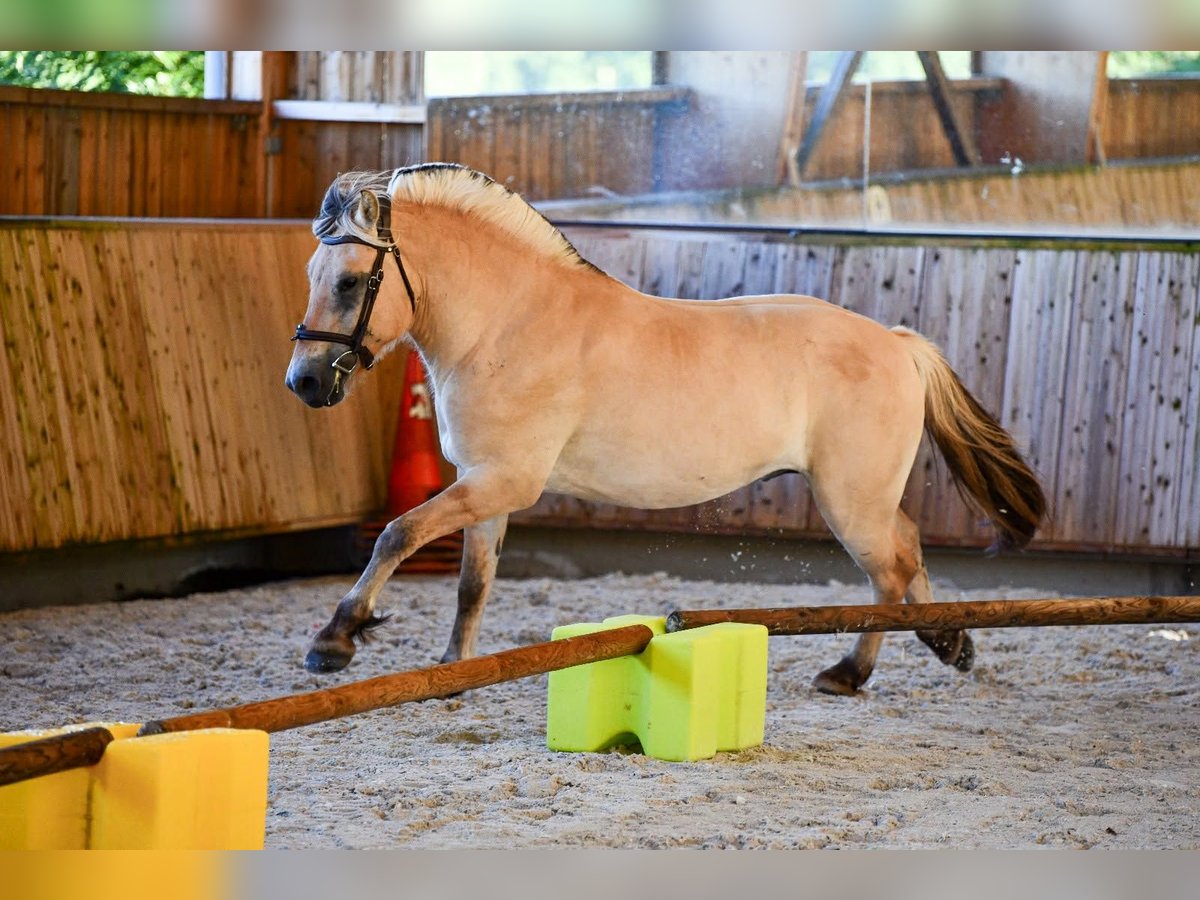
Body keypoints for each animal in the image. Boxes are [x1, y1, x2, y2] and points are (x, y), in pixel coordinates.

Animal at [285, 163, 1046, 696]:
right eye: (310, 272)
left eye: (349, 282)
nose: (305, 382)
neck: (505, 324)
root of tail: (896, 343)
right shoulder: (485, 483)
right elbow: (474, 583)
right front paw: (453, 670)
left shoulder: (506, 481)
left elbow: (396, 533)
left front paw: (334, 640)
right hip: (868, 498)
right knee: (909, 550)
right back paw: (951, 645)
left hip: (849, 499)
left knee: (890, 571)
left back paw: (849, 673)